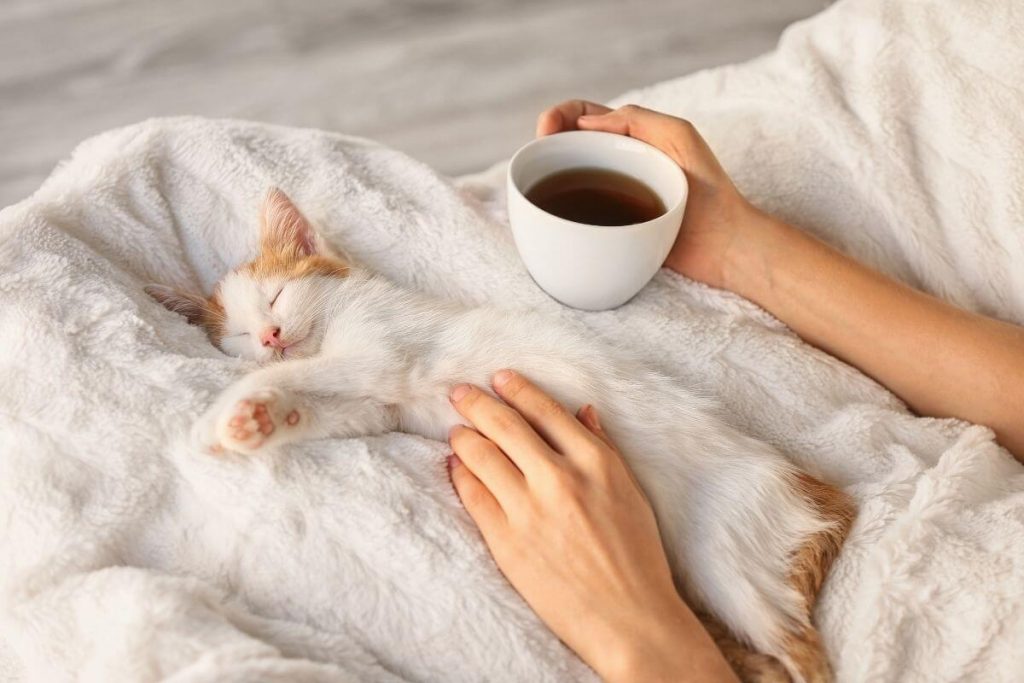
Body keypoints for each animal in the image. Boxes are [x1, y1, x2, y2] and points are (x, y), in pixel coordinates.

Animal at [149, 188, 856, 683]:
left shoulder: (382, 349)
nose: (269, 339)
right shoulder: (376, 405)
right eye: (241, 335)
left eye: (277, 298)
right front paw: (252, 420)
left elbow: (327, 369)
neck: (336, 321)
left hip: (729, 560)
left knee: (802, 653)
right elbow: (331, 409)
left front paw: (219, 412)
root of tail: (812, 487)